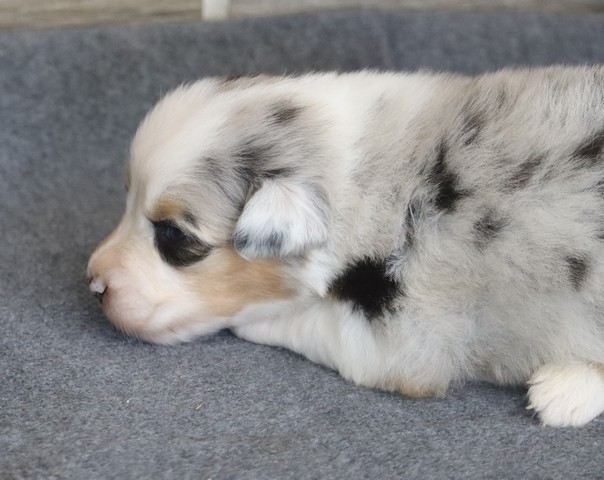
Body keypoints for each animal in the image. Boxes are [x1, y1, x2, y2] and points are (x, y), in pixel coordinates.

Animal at [87, 67, 604, 427]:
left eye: (174, 237)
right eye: (126, 200)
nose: (93, 283)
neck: (357, 171)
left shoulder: (408, 335)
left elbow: (304, 322)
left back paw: (563, 390)